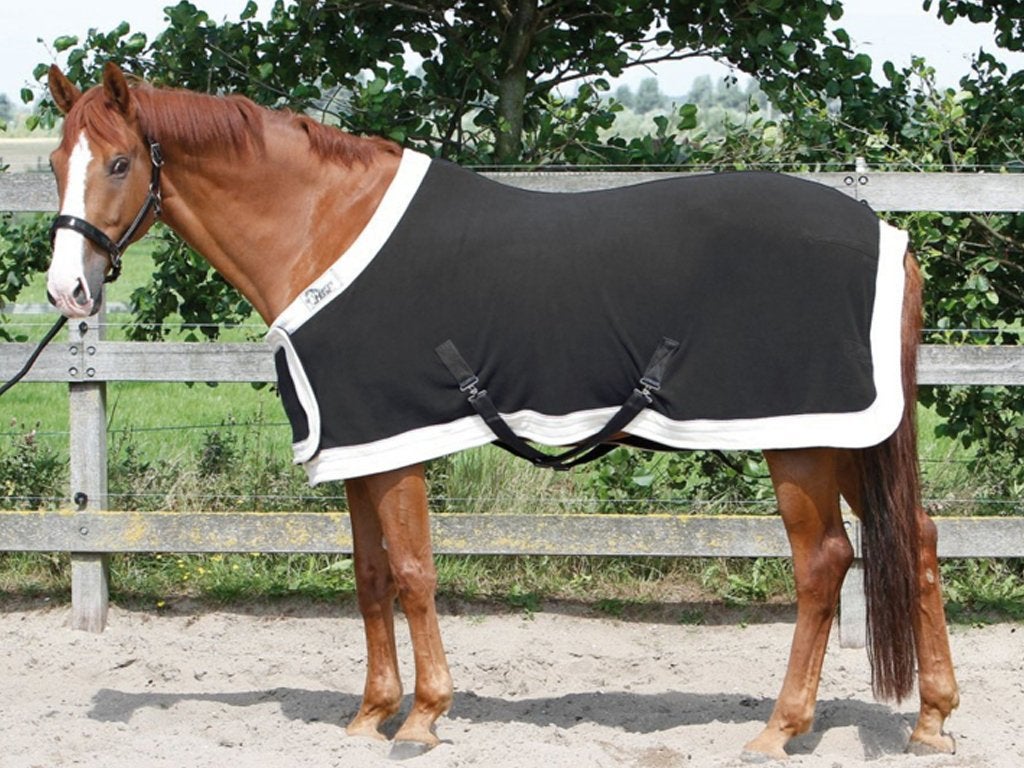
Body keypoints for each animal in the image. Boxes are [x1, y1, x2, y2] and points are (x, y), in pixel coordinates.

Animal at [44, 62, 959, 761]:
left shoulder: (397, 444)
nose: (67, 293)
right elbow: (370, 576)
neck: (323, 227)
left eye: (119, 164)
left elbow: (414, 574)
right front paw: (371, 713)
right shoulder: (362, 448)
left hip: (800, 442)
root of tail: (888, 237)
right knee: (915, 538)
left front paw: (423, 718)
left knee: (823, 564)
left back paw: (780, 728)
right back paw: (932, 721)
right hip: (848, 436)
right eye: (55, 161)